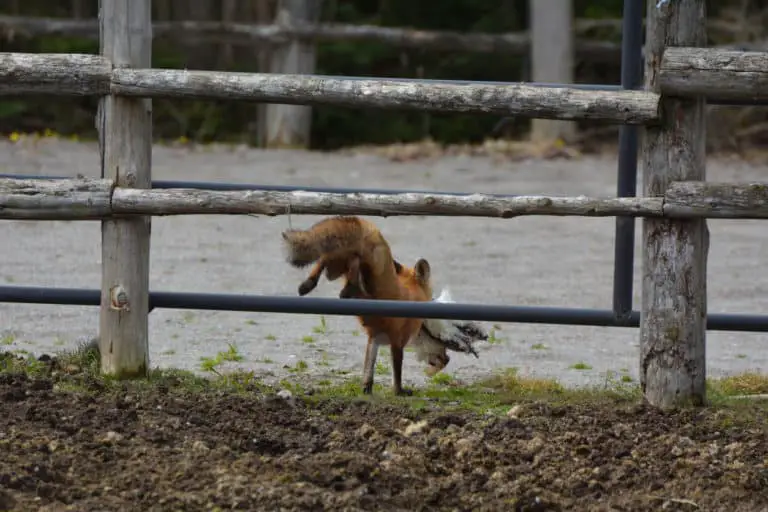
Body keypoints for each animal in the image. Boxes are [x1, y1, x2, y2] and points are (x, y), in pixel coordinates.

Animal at [281, 216, 432, 396]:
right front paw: (399, 391)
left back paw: (309, 284)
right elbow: (397, 371)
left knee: (326, 258)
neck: (410, 296)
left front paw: (366, 388)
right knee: (354, 261)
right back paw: (349, 287)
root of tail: (371, 230)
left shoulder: (374, 337)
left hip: (336, 262)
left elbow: (369, 368)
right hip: (369, 264)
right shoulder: (397, 340)